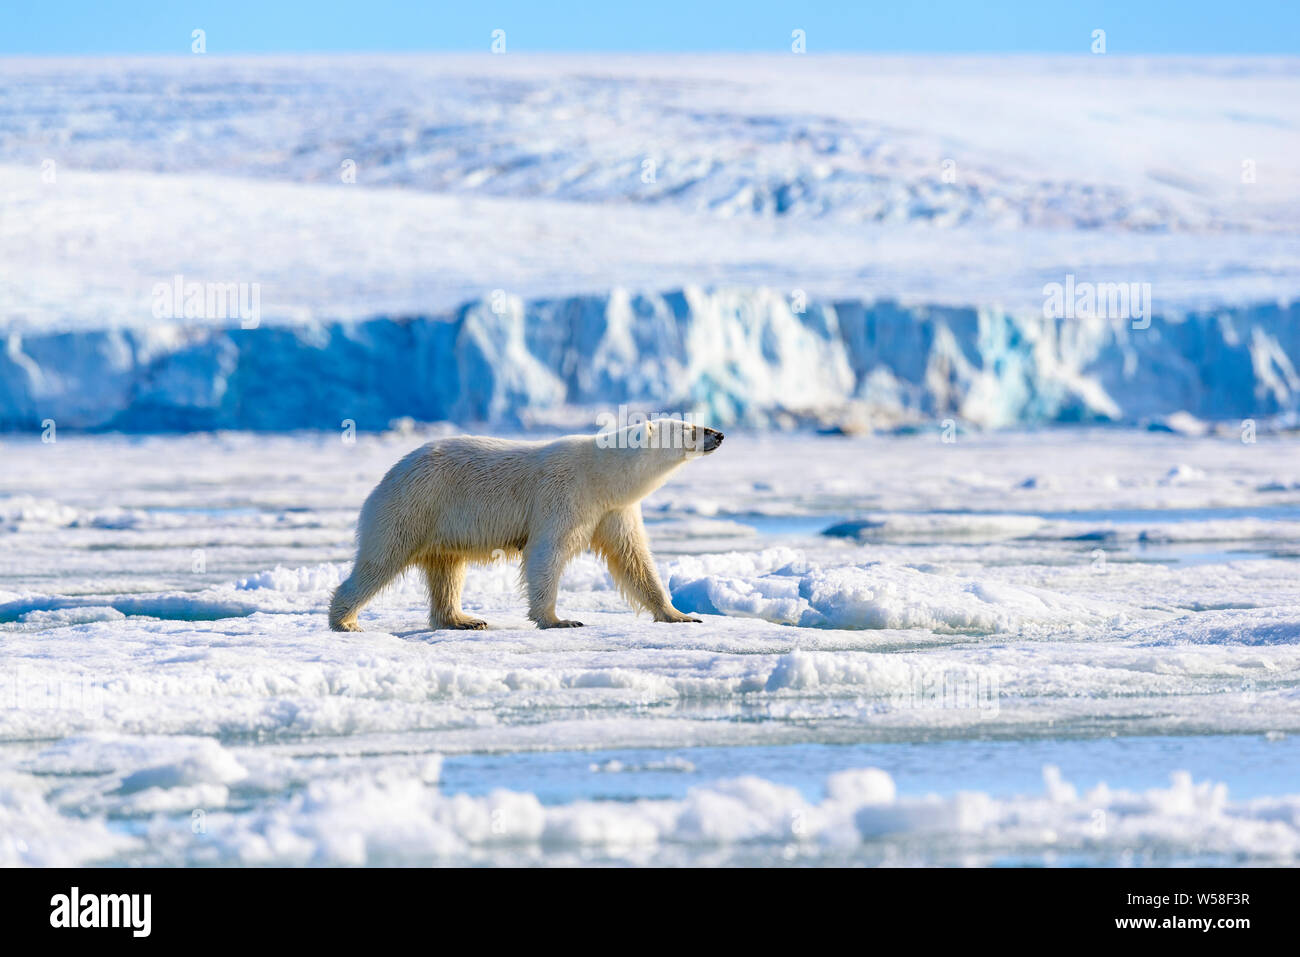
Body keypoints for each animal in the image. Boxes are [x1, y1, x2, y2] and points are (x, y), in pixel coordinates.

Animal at [328, 418, 724, 632]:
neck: (602, 475)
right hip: (414, 505)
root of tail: (390, 474)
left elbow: (634, 559)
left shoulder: (613, 509)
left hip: (439, 523)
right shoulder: (565, 494)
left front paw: (681, 615)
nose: (718, 434)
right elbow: (546, 552)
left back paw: (464, 619)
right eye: (691, 428)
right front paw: (559, 620)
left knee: (447, 569)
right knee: (382, 559)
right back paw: (345, 620)